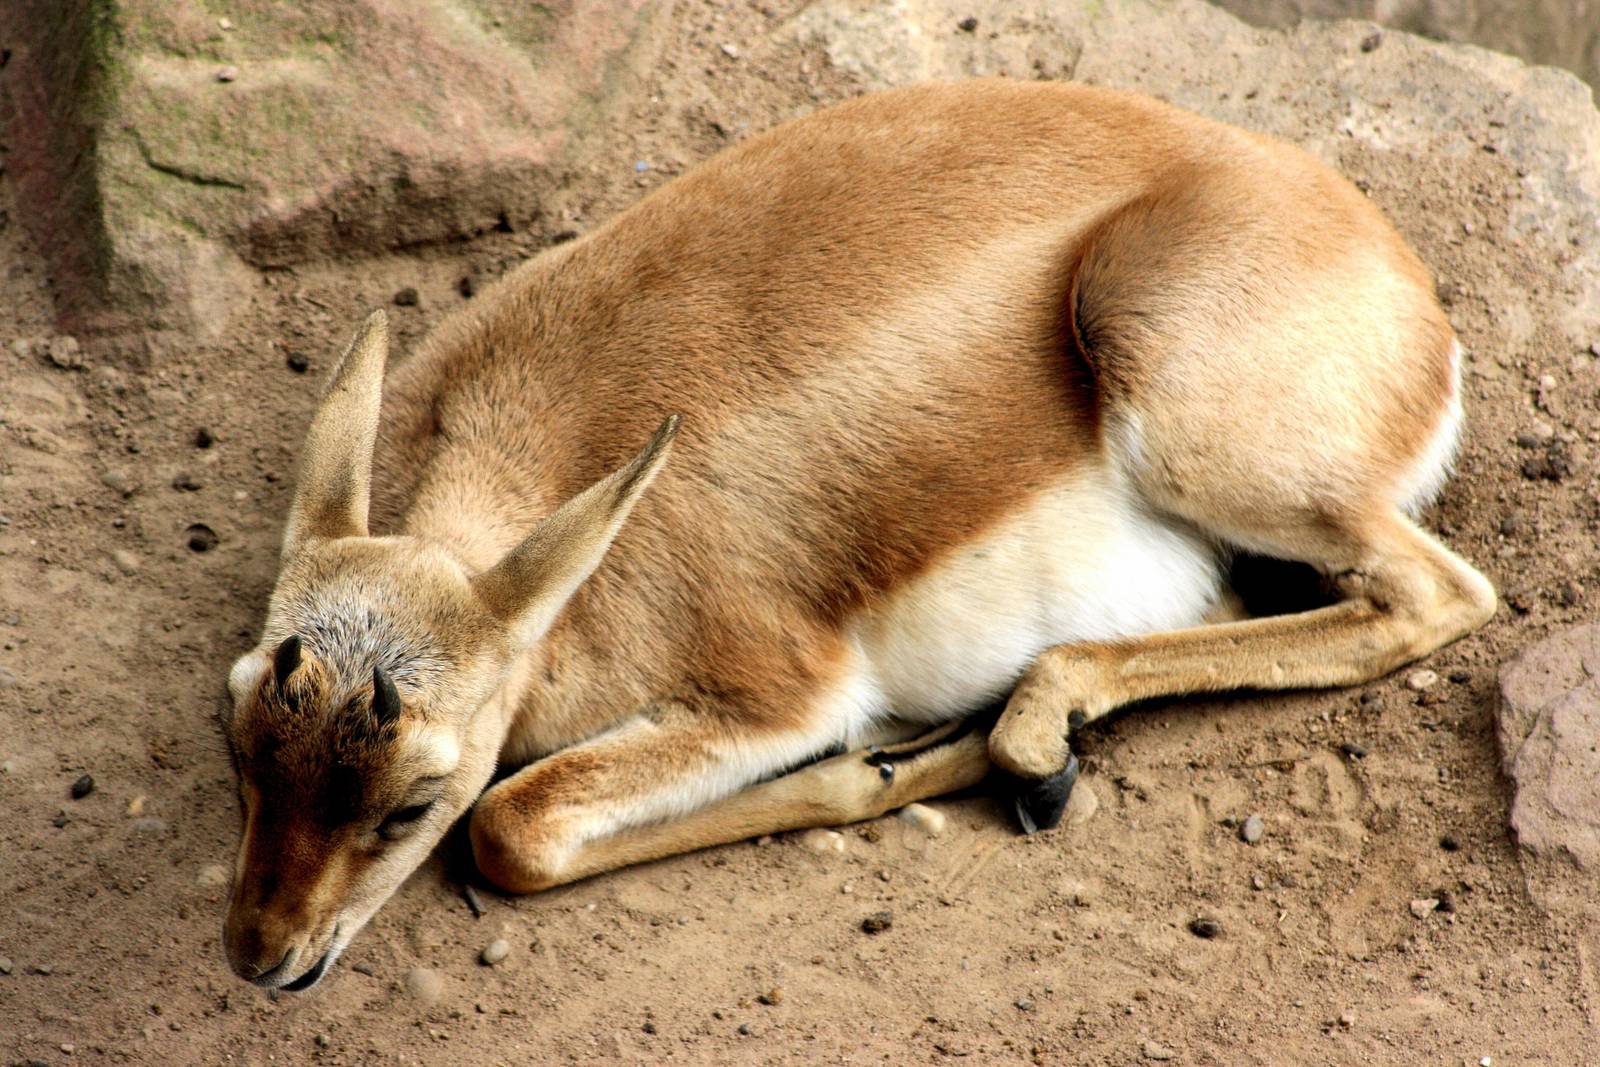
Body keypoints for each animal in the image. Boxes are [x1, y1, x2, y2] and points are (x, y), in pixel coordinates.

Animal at [219, 79, 1495, 990]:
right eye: (242, 742)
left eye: (408, 801)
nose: (262, 956)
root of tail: (1402, 281)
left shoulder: (784, 691)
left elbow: (511, 824)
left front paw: (891, 759)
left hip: (1194, 430)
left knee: (1437, 595)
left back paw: (1029, 741)